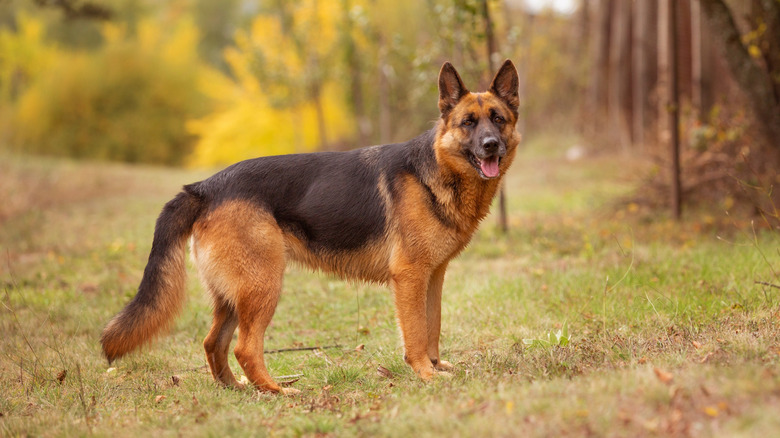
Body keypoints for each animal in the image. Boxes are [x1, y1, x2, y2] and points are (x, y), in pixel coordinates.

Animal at [100, 59, 520, 394]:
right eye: (468, 123)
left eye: (498, 119)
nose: (490, 145)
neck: (435, 170)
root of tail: (205, 187)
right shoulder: (411, 277)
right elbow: (417, 332)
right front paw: (425, 374)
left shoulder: (434, 277)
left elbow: (433, 326)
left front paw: (435, 366)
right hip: (263, 285)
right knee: (243, 347)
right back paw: (275, 391)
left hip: (234, 295)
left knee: (212, 343)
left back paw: (237, 388)